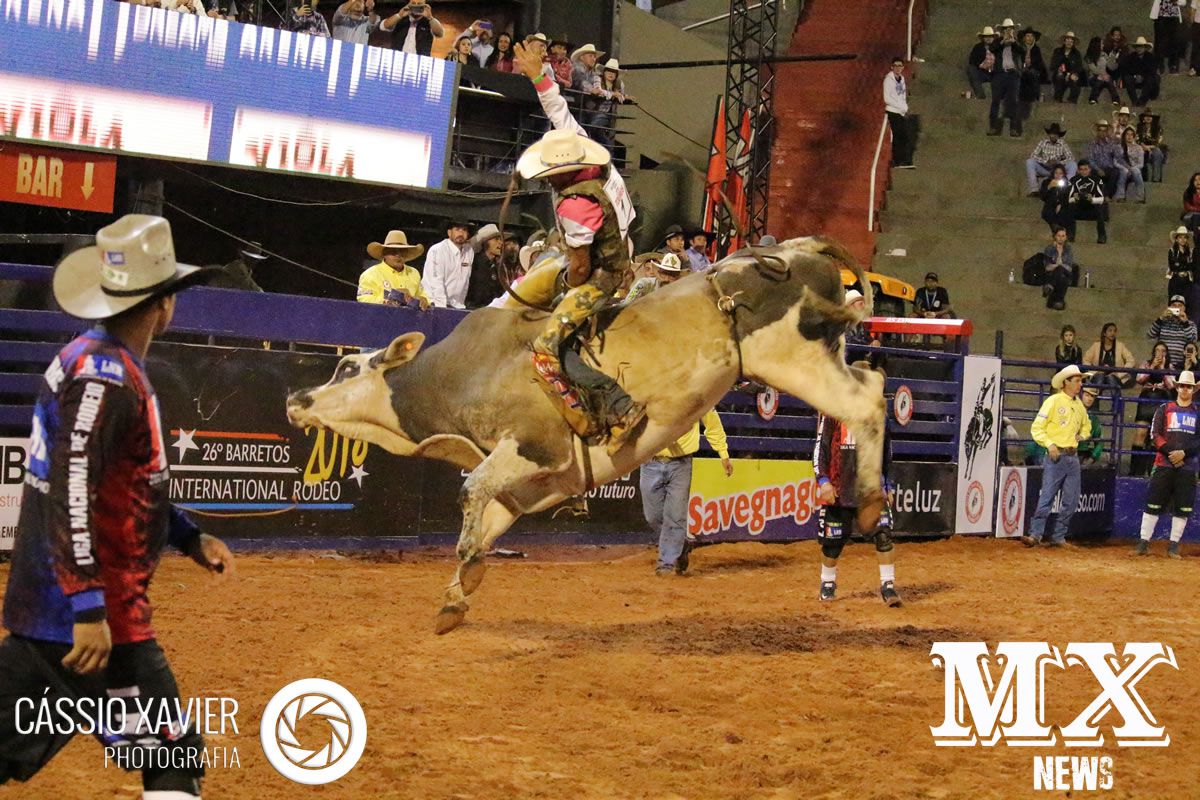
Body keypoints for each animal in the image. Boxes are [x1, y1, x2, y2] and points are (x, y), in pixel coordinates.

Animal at [286, 236, 887, 634]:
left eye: (346, 369)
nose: (295, 401)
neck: (461, 374)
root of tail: (793, 249)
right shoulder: (535, 481)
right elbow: (485, 519)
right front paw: (457, 598)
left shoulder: (533, 447)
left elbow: (469, 492)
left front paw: (462, 577)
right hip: (820, 356)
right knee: (874, 384)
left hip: (791, 358)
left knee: (869, 402)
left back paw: (872, 505)